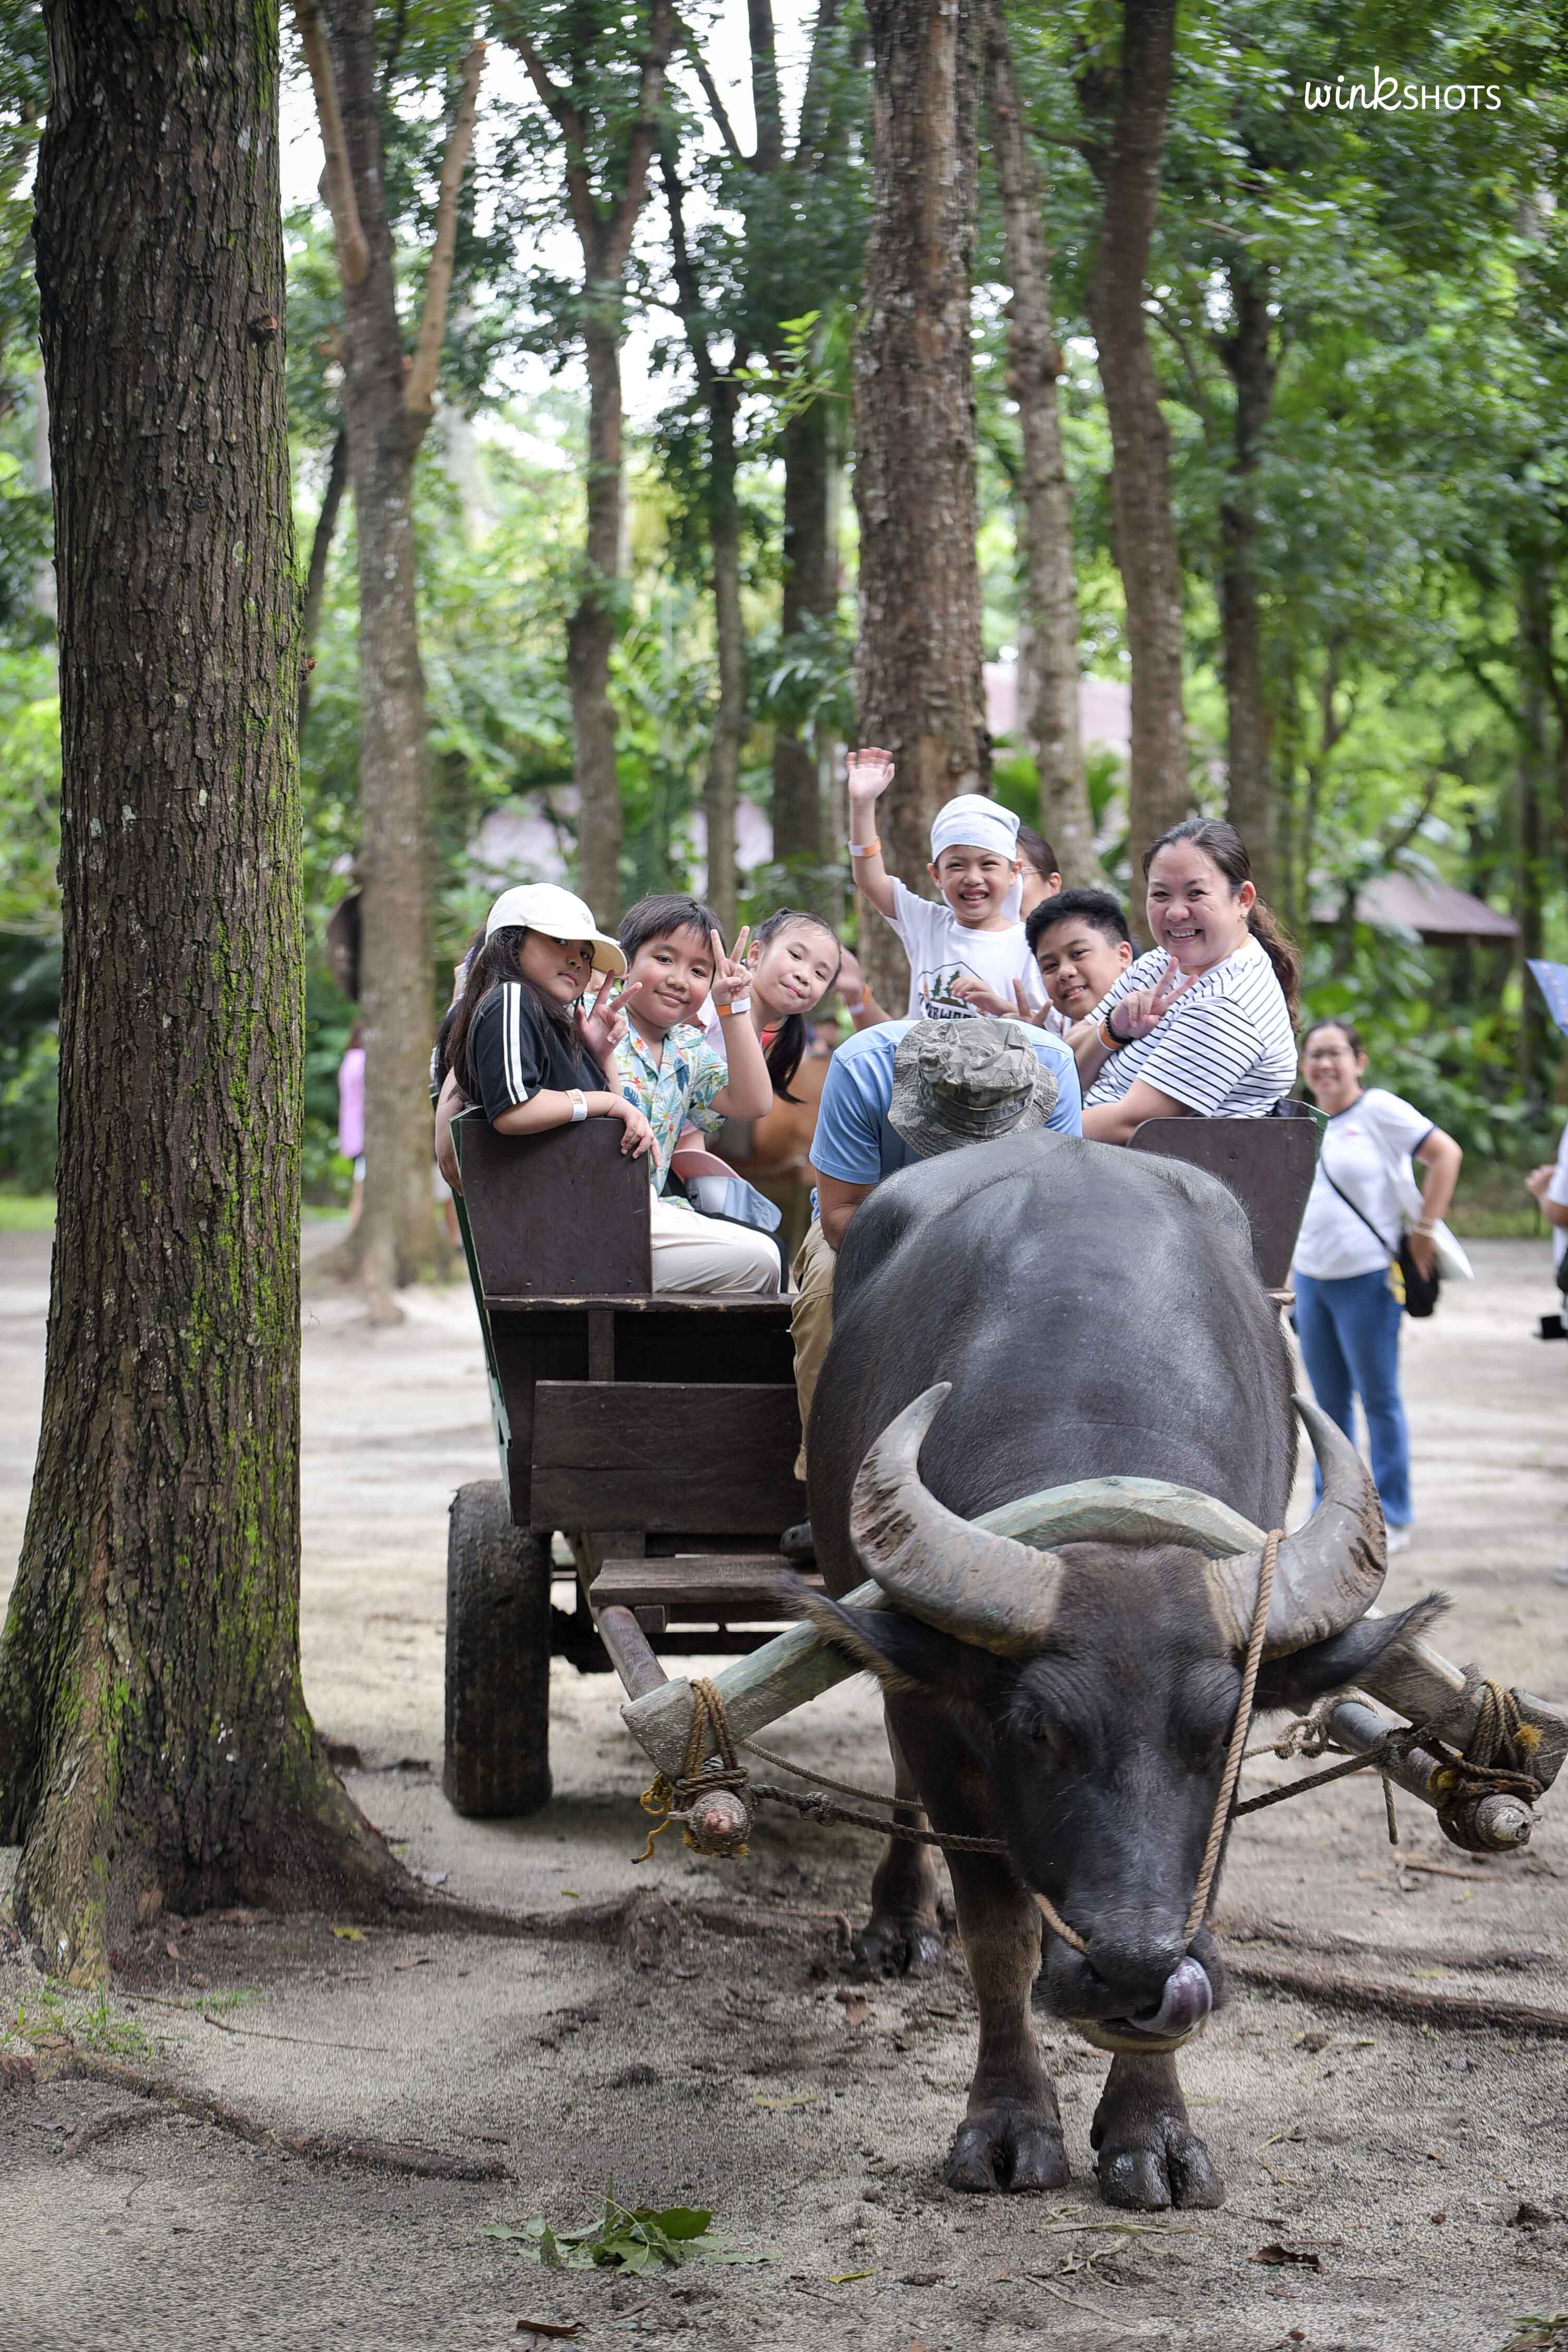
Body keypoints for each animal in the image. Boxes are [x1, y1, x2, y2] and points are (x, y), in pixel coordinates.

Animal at [804, 1126, 1438, 2210]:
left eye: (1222, 1734)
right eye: (1038, 1731)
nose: (1131, 1966)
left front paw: (1153, 2129)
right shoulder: (943, 1719)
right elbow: (998, 1936)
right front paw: (1006, 2124)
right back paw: (897, 1920)